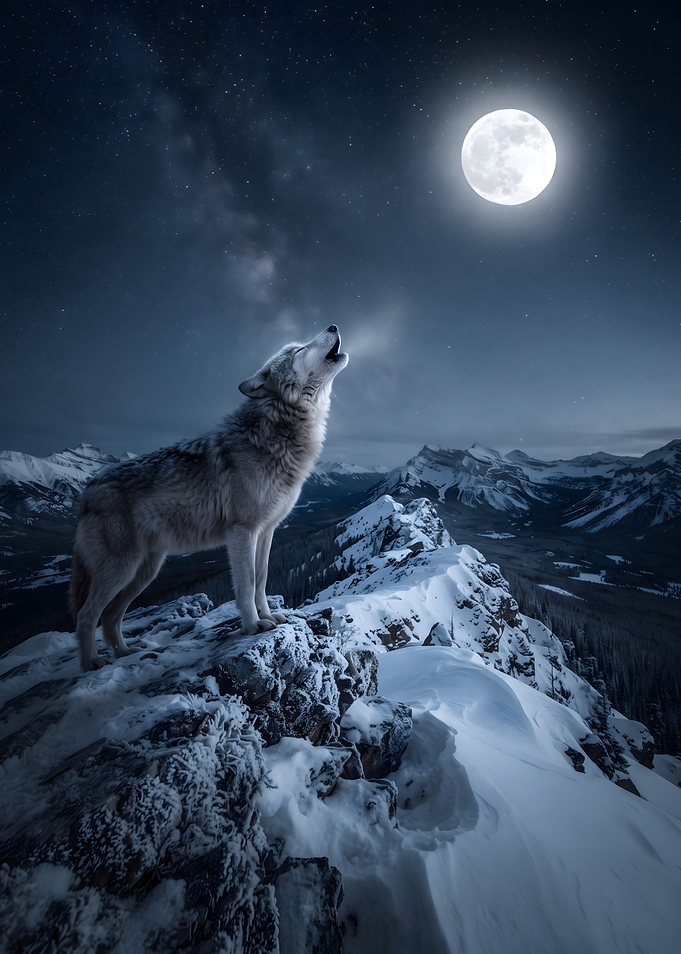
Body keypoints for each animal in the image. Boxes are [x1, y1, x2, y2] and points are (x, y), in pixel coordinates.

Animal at [69, 325, 348, 671]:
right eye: (298, 350)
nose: (333, 326)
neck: (278, 432)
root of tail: (89, 488)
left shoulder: (267, 531)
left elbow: (262, 579)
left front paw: (270, 617)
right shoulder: (242, 532)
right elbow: (246, 584)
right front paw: (253, 625)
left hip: (143, 572)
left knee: (110, 616)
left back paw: (125, 653)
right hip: (122, 567)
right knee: (86, 615)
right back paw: (92, 663)